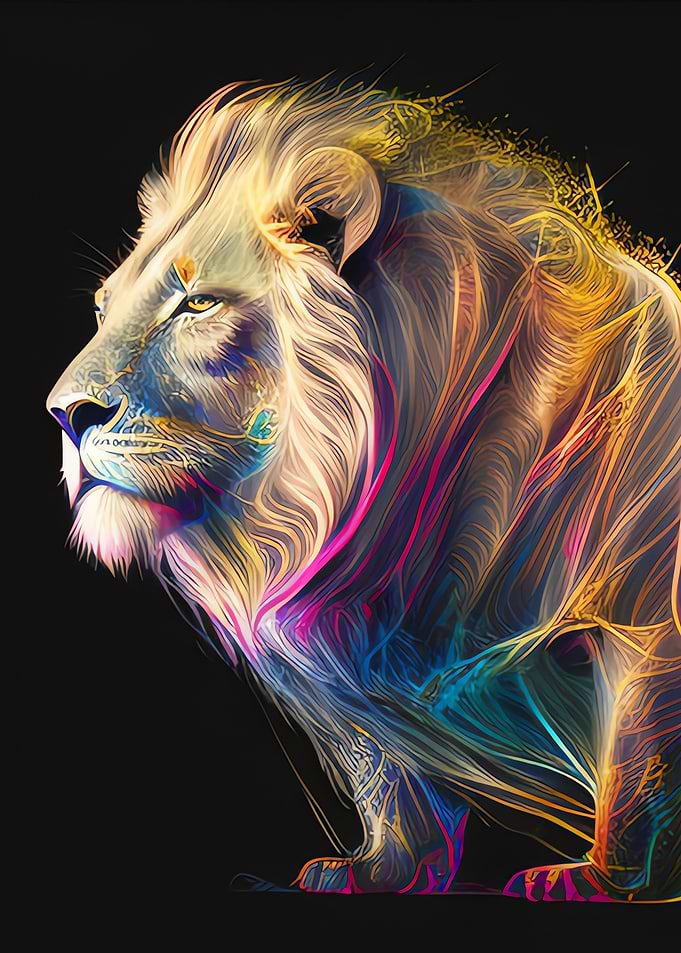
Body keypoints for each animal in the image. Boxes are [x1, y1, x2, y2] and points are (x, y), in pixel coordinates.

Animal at [47, 76, 681, 900]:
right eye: (102, 307)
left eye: (197, 303)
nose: (64, 413)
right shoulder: (350, 641)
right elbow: (381, 765)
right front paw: (382, 868)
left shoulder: (644, 621)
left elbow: (639, 761)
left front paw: (608, 882)